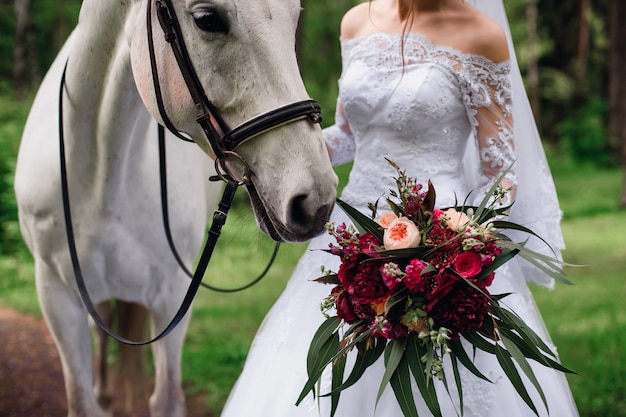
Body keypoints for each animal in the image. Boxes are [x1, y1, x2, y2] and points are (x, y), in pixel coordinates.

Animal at [13, 0, 336, 416]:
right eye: (207, 19)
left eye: (295, 15)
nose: (316, 200)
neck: (103, 175)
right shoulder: (57, 296)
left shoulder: (171, 296)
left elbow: (163, 399)